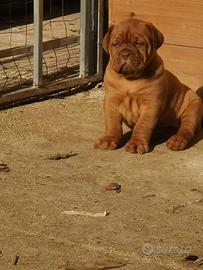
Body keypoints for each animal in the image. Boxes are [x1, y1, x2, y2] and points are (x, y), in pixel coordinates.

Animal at [94, 18, 202, 154]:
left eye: (139, 43)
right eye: (116, 44)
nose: (125, 54)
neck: (130, 79)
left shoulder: (150, 105)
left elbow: (142, 125)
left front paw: (136, 143)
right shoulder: (111, 101)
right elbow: (112, 123)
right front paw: (109, 139)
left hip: (193, 106)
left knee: (186, 128)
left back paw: (177, 140)